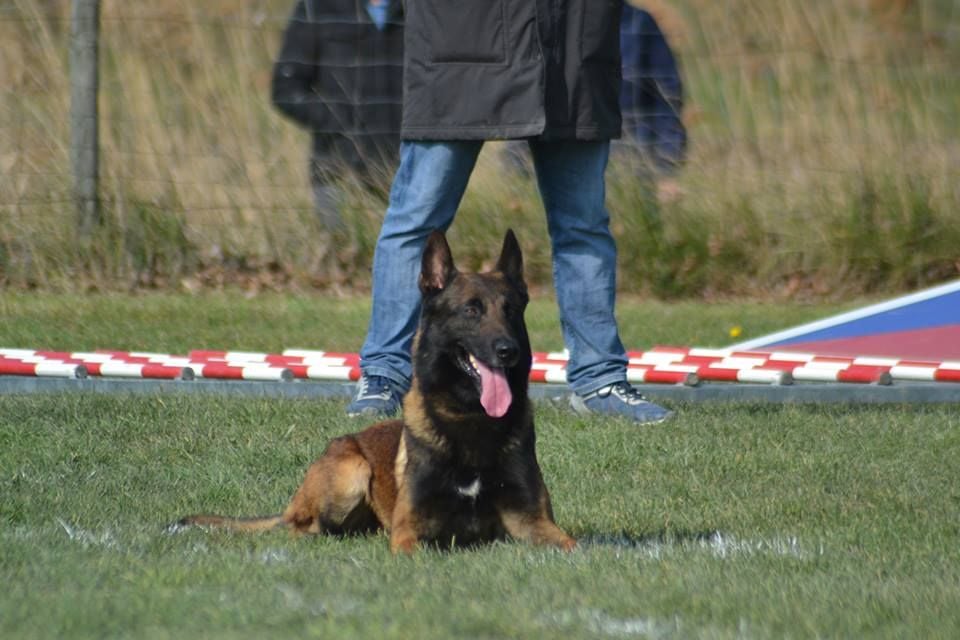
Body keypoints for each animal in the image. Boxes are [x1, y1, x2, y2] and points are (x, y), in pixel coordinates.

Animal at [176, 231, 572, 556]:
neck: (470, 417)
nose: (508, 351)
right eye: (471, 310)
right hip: (350, 473)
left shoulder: (535, 523)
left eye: (511, 311)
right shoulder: (408, 533)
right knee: (299, 529)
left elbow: (573, 546)